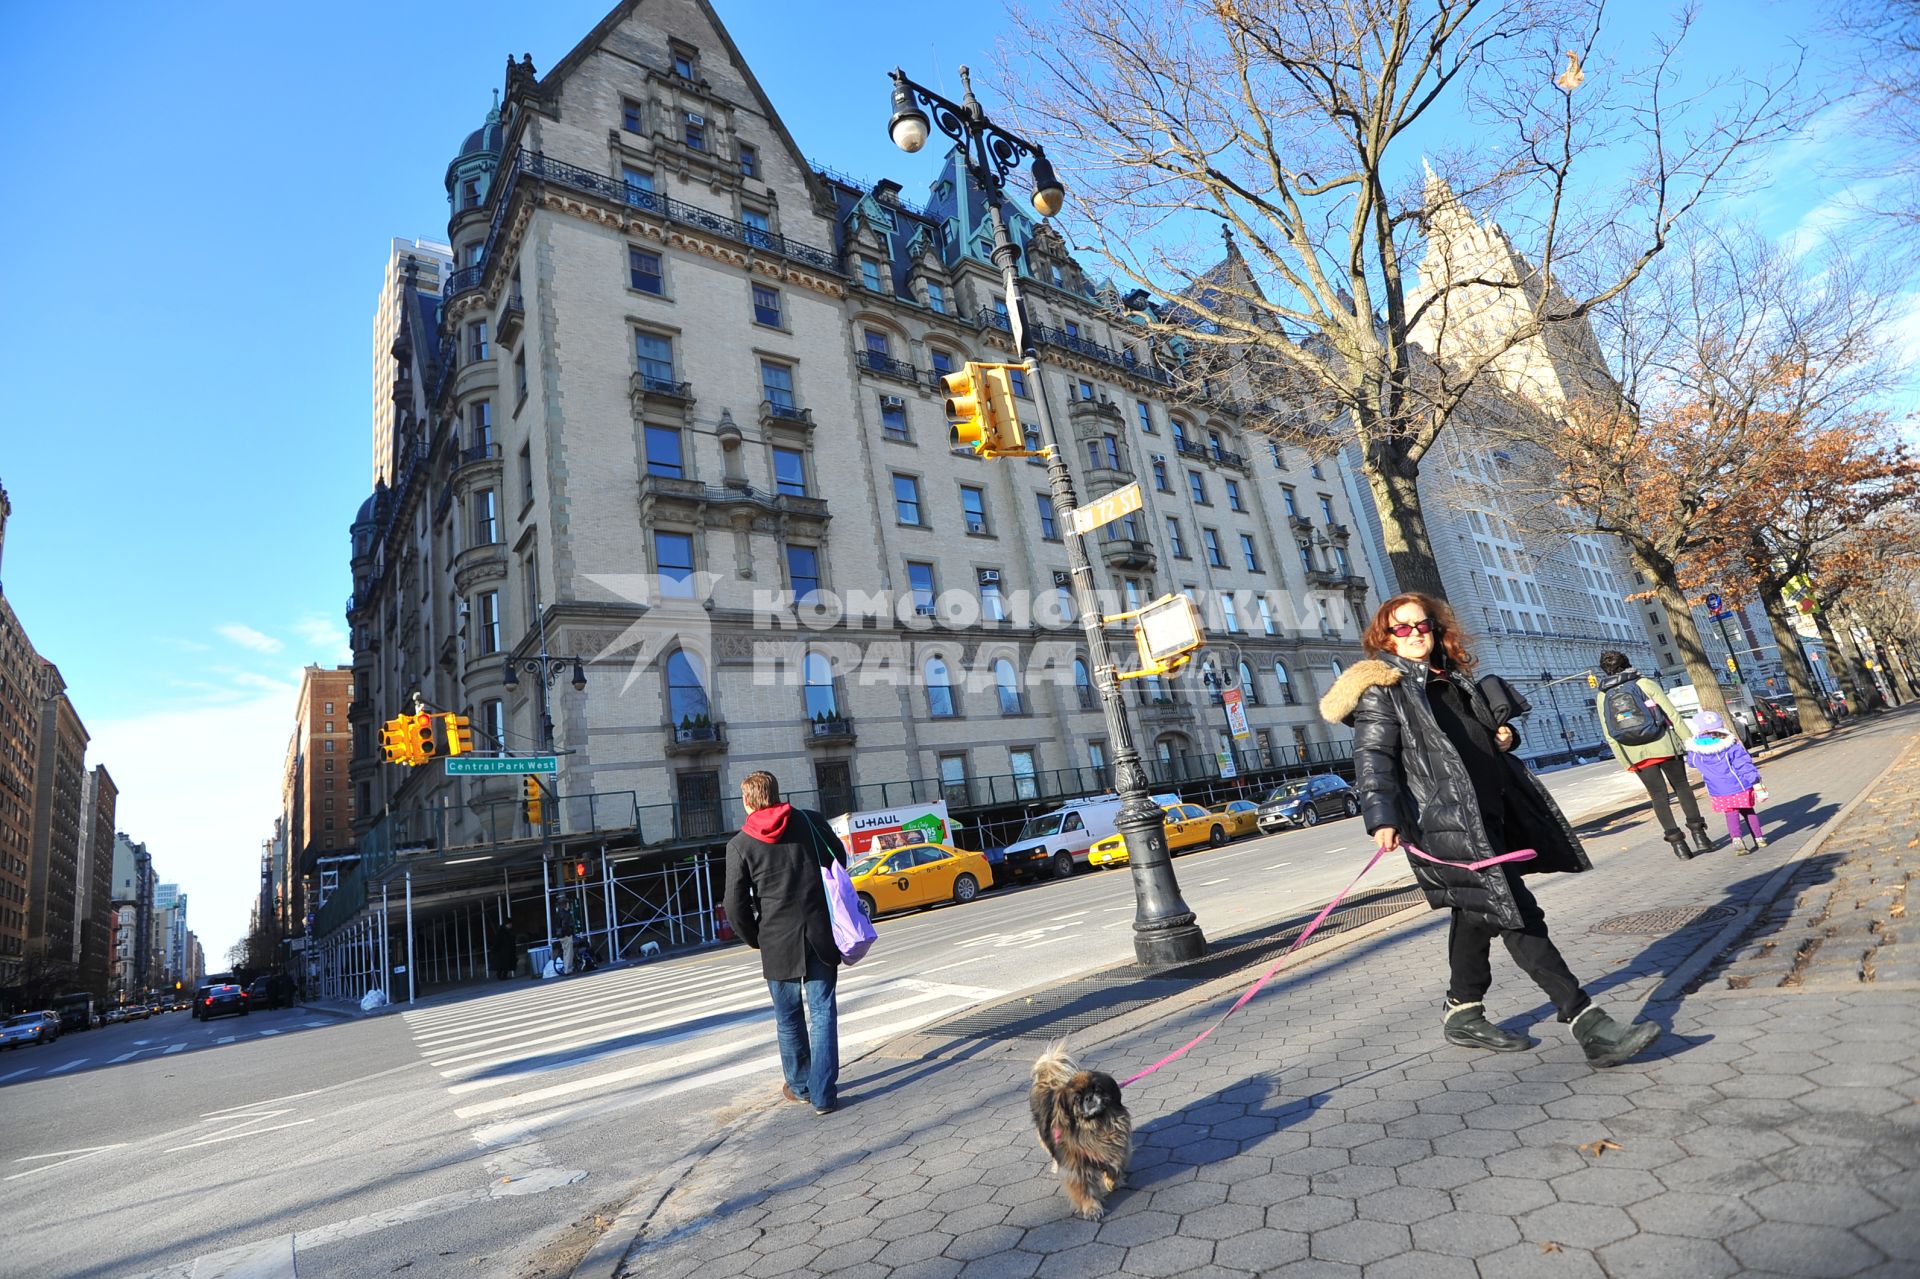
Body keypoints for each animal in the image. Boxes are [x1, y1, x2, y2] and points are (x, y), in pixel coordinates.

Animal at [1029, 1037, 1128, 1213]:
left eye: (1097, 1089)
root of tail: (1048, 1081)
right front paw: (1092, 1209)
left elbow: (1113, 1167)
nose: (1089, 1097)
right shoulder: (1077, 1167)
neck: (1095, 1126)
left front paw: (1113, 1182)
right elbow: (1084, 1189)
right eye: (1077, 1098)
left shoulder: (1115, 1148)